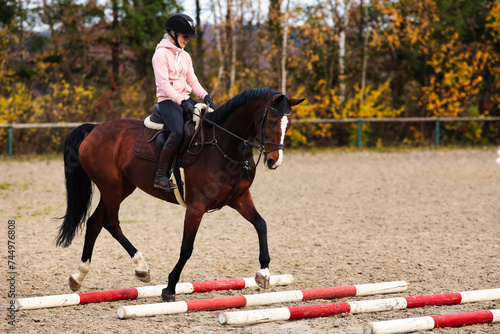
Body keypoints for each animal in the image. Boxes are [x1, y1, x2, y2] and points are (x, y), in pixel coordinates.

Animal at [56, 87, 302, 302]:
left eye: (288, 124)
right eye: (271, 121)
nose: (274, 161)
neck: (223, 146)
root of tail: (96, 128)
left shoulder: (240, 199)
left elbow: (261, 225)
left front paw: (264, 272)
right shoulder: (196, 207)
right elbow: (186, 248)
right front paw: (170, 287)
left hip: (121, 187)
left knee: (95, 222)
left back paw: (79, 275)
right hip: (112, 187)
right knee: (110, 222)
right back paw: (141, 267)